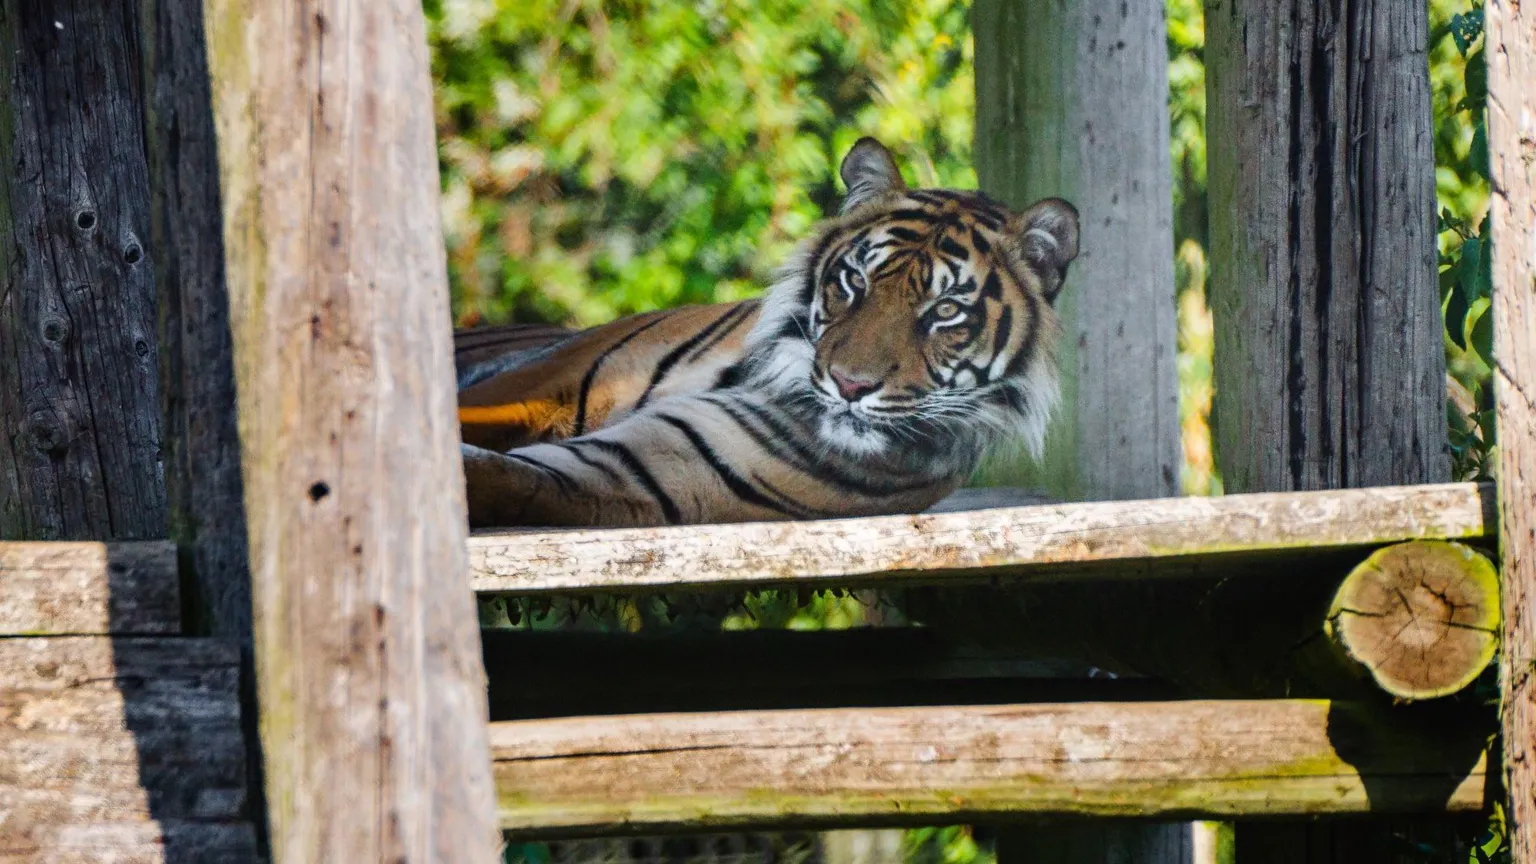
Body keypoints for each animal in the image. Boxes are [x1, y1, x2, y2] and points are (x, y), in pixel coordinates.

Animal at [456, 137, 1079, 528]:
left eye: (945, 311)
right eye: (855, 281)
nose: (850, 386)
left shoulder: (631, 469)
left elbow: (503, 479)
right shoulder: (542, 386)